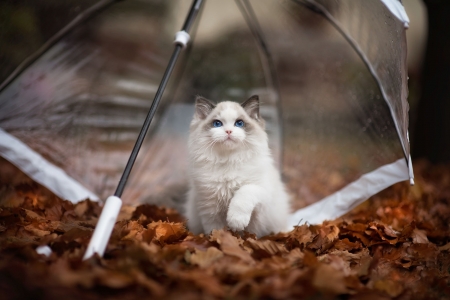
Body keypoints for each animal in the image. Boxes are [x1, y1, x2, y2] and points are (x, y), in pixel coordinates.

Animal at [185, 94, 290, 237]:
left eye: (239, 123)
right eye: (217, 124)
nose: (229, 131)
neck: (229, 160)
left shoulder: (260, 190)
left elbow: (243, 194)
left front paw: (236, 222)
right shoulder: (209, 206)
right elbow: (215, 231)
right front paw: (217, 240)